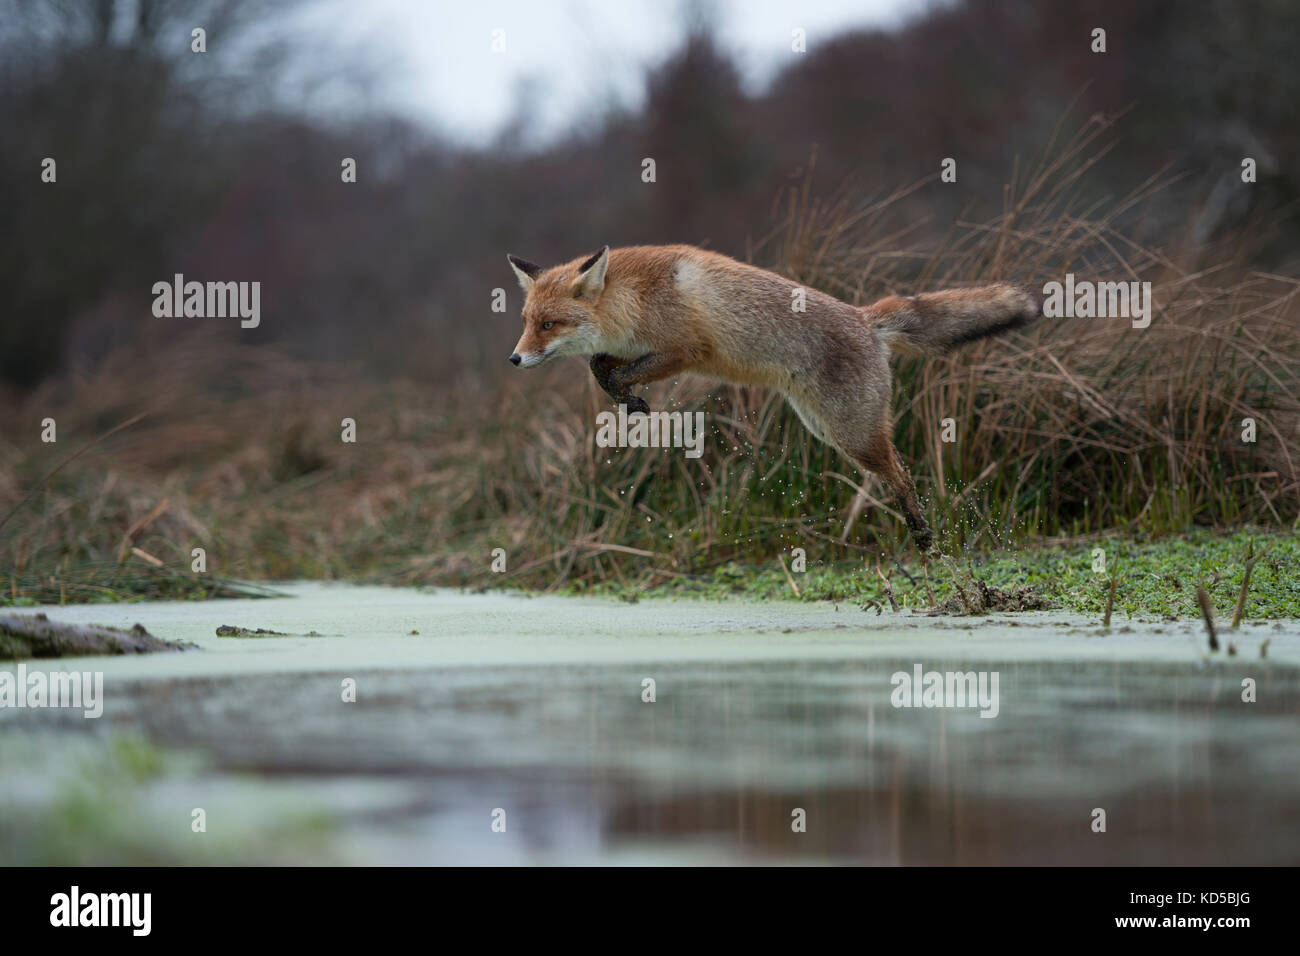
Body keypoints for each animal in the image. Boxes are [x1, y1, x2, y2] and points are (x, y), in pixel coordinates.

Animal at [501, 244, 1040, 554]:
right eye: (527, 321)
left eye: (549, 324)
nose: (514, 358)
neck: (631, 297)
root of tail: (865, 318)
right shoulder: (635, 347)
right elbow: (598, 364)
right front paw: (626, 398)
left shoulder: (686, 351)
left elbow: (617, 369)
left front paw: (629, 398)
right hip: (825, 428)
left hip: (855, 433)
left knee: (902, 471)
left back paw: (922, 531)